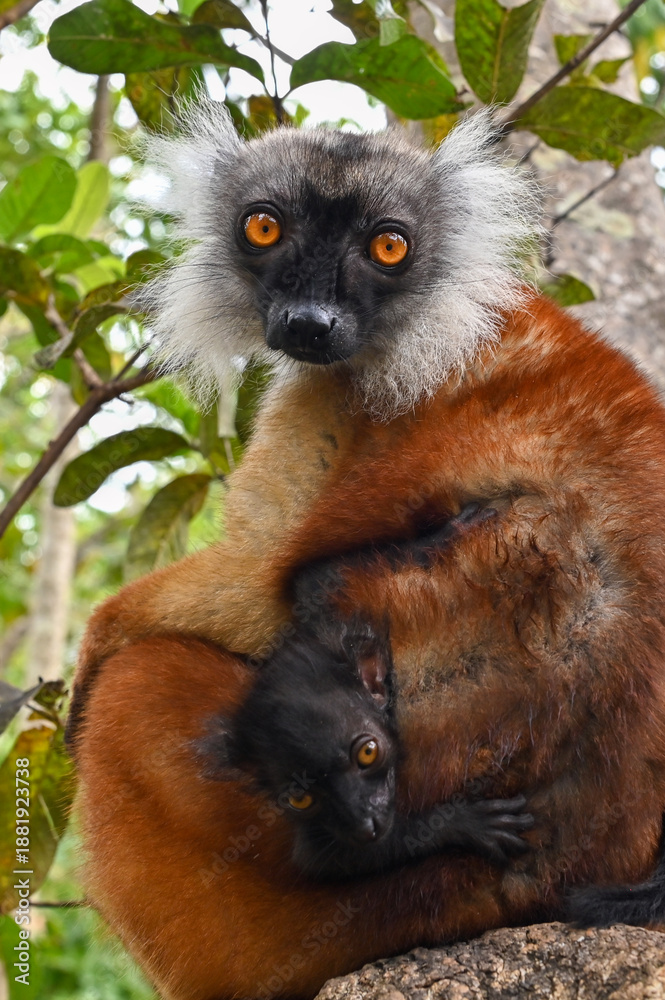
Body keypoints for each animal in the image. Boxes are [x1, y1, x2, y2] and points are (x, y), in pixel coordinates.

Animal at [68, 101, 665, 998]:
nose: (310, 323)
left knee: (137, 684)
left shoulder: (337, 391)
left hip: (316, 905)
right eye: (265, 228)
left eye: (389, 246)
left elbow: (251, 585)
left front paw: (91, 652)